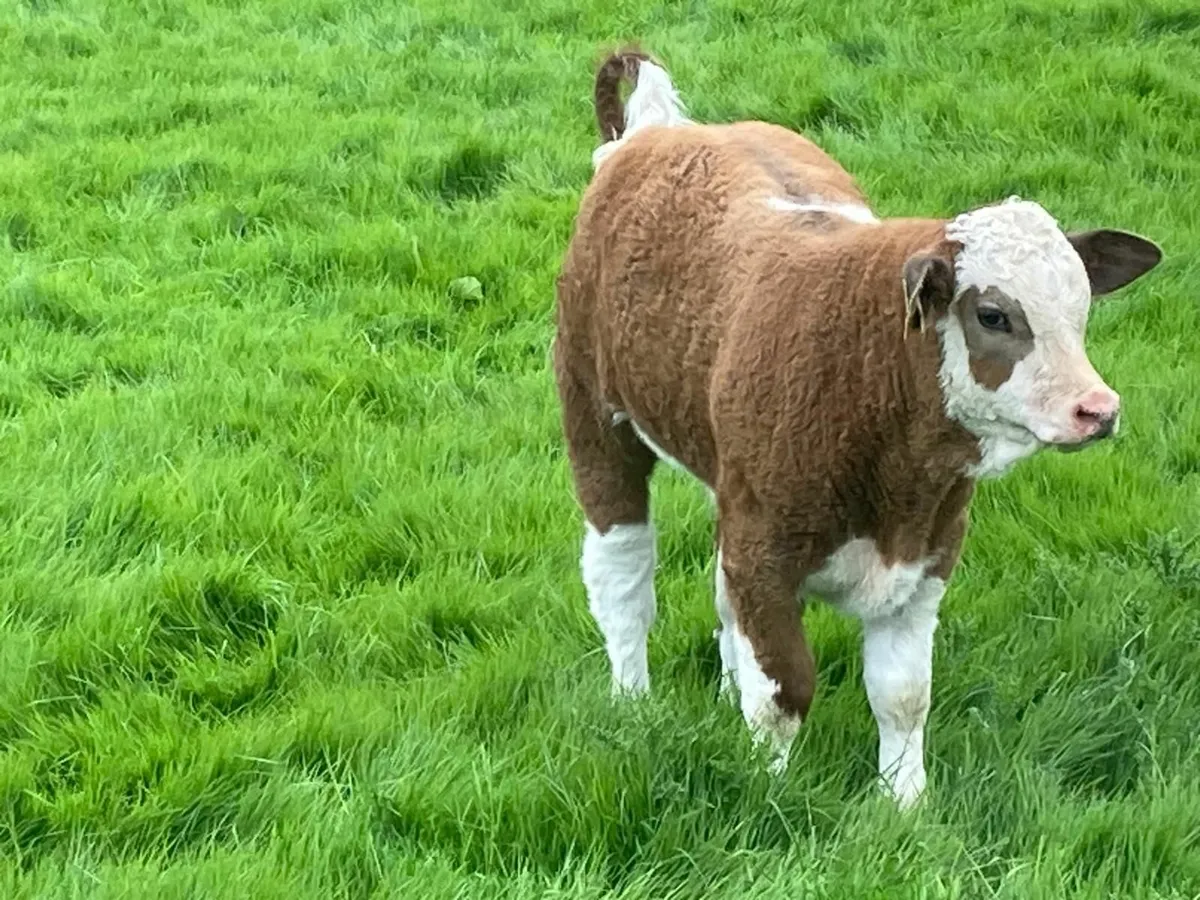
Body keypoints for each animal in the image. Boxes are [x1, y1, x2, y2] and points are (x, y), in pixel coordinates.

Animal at [552, 47, 1162, 808]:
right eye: (993, 315)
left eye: (1081, 307)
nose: (1096, 409)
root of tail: (653, 133)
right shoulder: (765, 554)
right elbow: (783, 693)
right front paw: (768, 793)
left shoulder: (928, 554)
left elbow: (902, 694)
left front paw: (905, 807)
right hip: (595, 413)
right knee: (622, 577)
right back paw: (632, 702)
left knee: (719, 599)